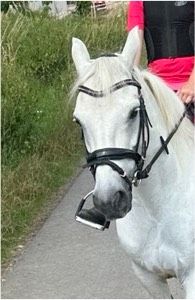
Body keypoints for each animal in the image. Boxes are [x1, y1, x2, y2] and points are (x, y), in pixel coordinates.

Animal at [71, 27, 195, 298]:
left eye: (133, 112)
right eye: (78, 121)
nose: (109, 201)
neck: (157, 209)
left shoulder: (192, 277)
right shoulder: (147, 275)